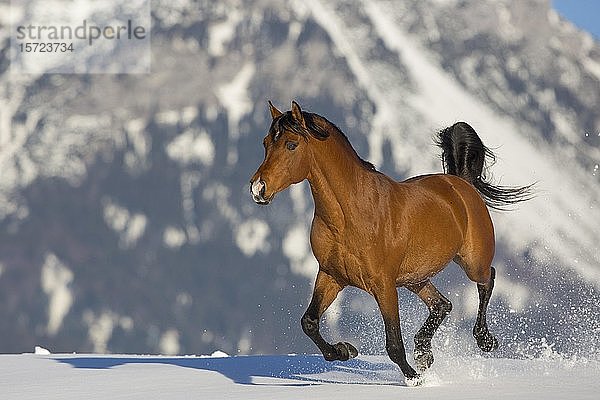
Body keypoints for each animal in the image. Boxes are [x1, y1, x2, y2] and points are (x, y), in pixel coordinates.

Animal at [250, 100, 536, 384]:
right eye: (265, 143)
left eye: (291, 144)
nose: (257, 189)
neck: (351, 215)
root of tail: (462, 184)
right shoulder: (331, 275)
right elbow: (309, 322)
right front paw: (345, 350)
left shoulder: (384, 285)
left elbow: (394, 343)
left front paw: (414, 378)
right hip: (415, 277)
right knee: (442, 304)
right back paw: (424, 352)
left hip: (472, 262)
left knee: (488, 279)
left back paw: (485, 341)